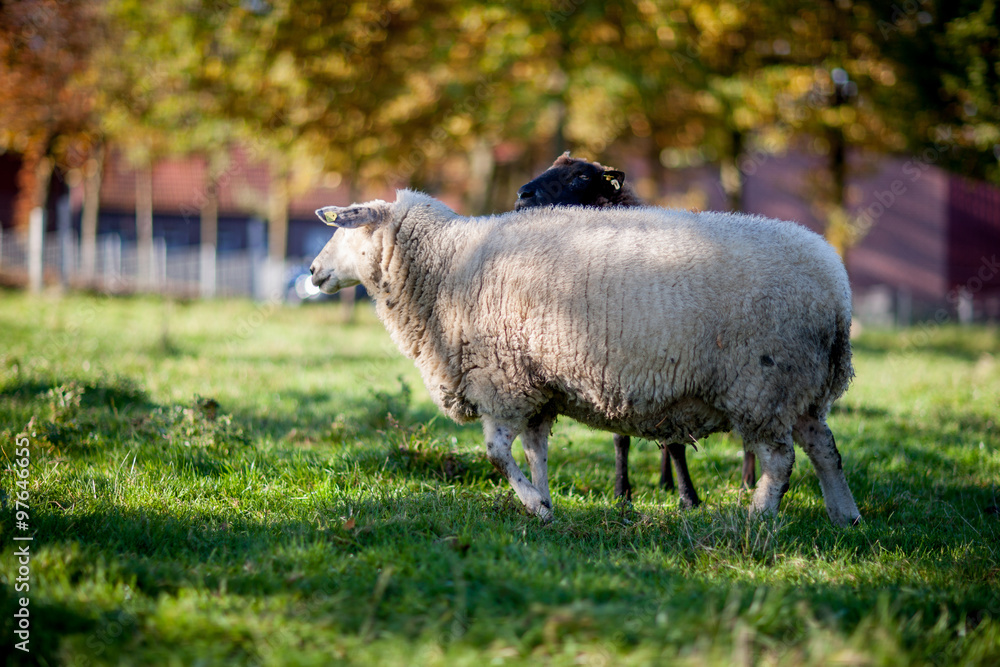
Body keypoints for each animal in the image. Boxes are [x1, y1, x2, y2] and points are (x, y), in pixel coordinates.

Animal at [309, 189, 861, 526]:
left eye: (347, 230)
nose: (313, 271)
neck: (446, 267)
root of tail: (837, 289)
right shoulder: (534, 384)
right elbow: (535, 451)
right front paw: (546, 503)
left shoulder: (502, 381)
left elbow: (496, 453)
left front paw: (534, 504)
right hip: (802, 389)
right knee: (825, 448)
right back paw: (845, 515)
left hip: (763, 383)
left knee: (781, 458)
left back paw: (758, 518)